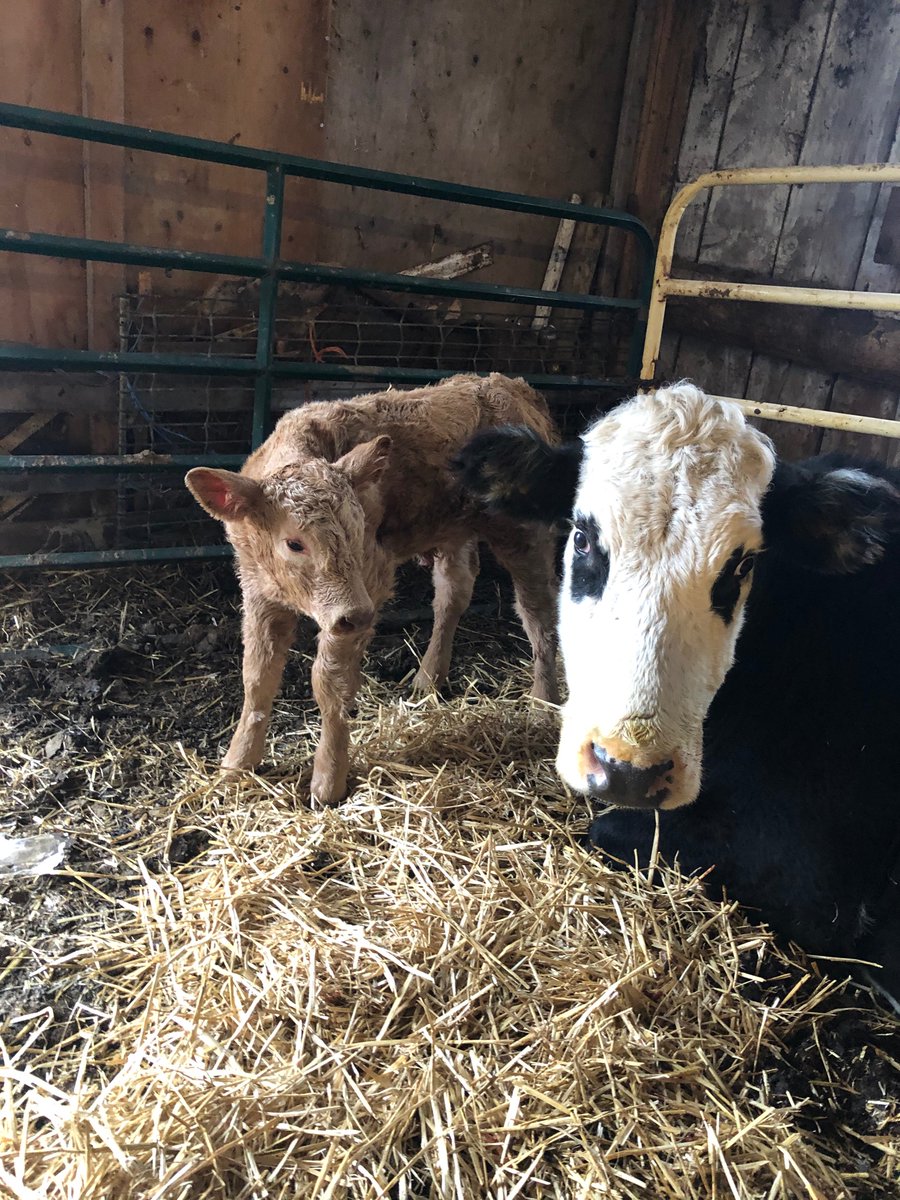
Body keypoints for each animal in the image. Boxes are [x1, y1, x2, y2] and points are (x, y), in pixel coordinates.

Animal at [185, 373, 560, 807]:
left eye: (357, 530)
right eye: (294, 543)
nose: (358, 615)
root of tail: (512, 386)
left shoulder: (369, 585)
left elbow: (330, 683)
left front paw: (328, 781)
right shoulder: (258, 591)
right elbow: (257, 677)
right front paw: (236, 765)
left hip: (523, 534)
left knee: (538, 613)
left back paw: (543, 703)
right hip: (452, 530)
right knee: (453, 592)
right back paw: (428, 679)